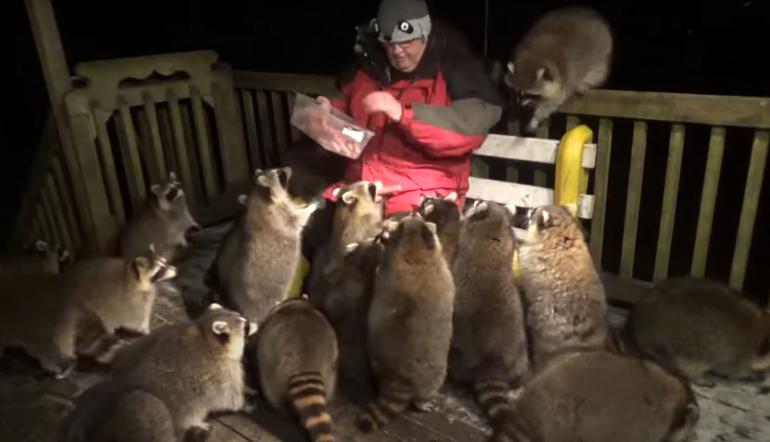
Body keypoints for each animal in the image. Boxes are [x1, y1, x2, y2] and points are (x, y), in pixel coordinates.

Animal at [107, 303, 257, 440]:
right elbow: (230, 399)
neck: (205, 333)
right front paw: (245, 404)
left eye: (243, 318)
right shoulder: (224, 372)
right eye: (246, 327)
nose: (256, 323)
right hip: (157, 410)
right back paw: (195, 422)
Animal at [220, 167, 319, 324]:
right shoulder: (281, 217)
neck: (258, 199)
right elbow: (299, 218)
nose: (289, 168)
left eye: (277, 170)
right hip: (266, 298)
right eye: (279, 174)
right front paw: (311, 207)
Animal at [357, 216, 455, 433]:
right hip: (437, 372)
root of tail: (400, 377)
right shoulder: (443, 272)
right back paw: (423, 401)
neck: (413, 251)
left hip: (376, 358)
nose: (418, 215)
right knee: (427, 389)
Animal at [449, 201, 529, 435]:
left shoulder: (467, 235)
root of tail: (492, 361)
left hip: (459, 350)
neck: (495, 224)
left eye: (474, 203)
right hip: (520, 352)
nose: (470, 204)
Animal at [627, 276, 770, 385]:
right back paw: (698, 377)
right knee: (688, 365)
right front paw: (751, 374)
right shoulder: (737, 357)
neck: (759, 330)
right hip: (680, 345)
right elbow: (734, 371)